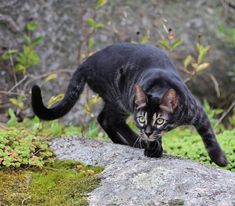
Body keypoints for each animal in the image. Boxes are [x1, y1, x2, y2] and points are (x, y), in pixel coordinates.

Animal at [31, 42, 228, 167]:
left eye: (159, 120)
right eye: (142, 118)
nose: (147, 131)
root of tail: (87, 62)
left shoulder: (198, 112)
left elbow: (209, 134)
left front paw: (219, 159)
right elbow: (153, 138)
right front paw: (152, 149)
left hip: (115, 101)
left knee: (103, 118)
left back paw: (122, 142)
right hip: (119, 99)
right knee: (112, 120)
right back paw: (133, 141)